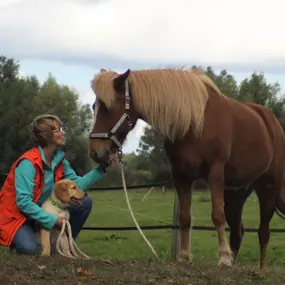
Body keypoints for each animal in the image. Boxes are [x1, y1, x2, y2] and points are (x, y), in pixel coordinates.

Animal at [87, 67, 284, 270]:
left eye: (108, 107)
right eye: (94, 107)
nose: (95, 152)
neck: (194, 122)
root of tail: (273, 124)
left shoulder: (215, 173)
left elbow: (217, 215)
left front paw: (222, 257)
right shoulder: (181, 176)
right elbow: (184, 217)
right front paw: (183, 256)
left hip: (268, 189)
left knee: (263, 232)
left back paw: (260, 268)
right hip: (236, 193)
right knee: (238, 232)